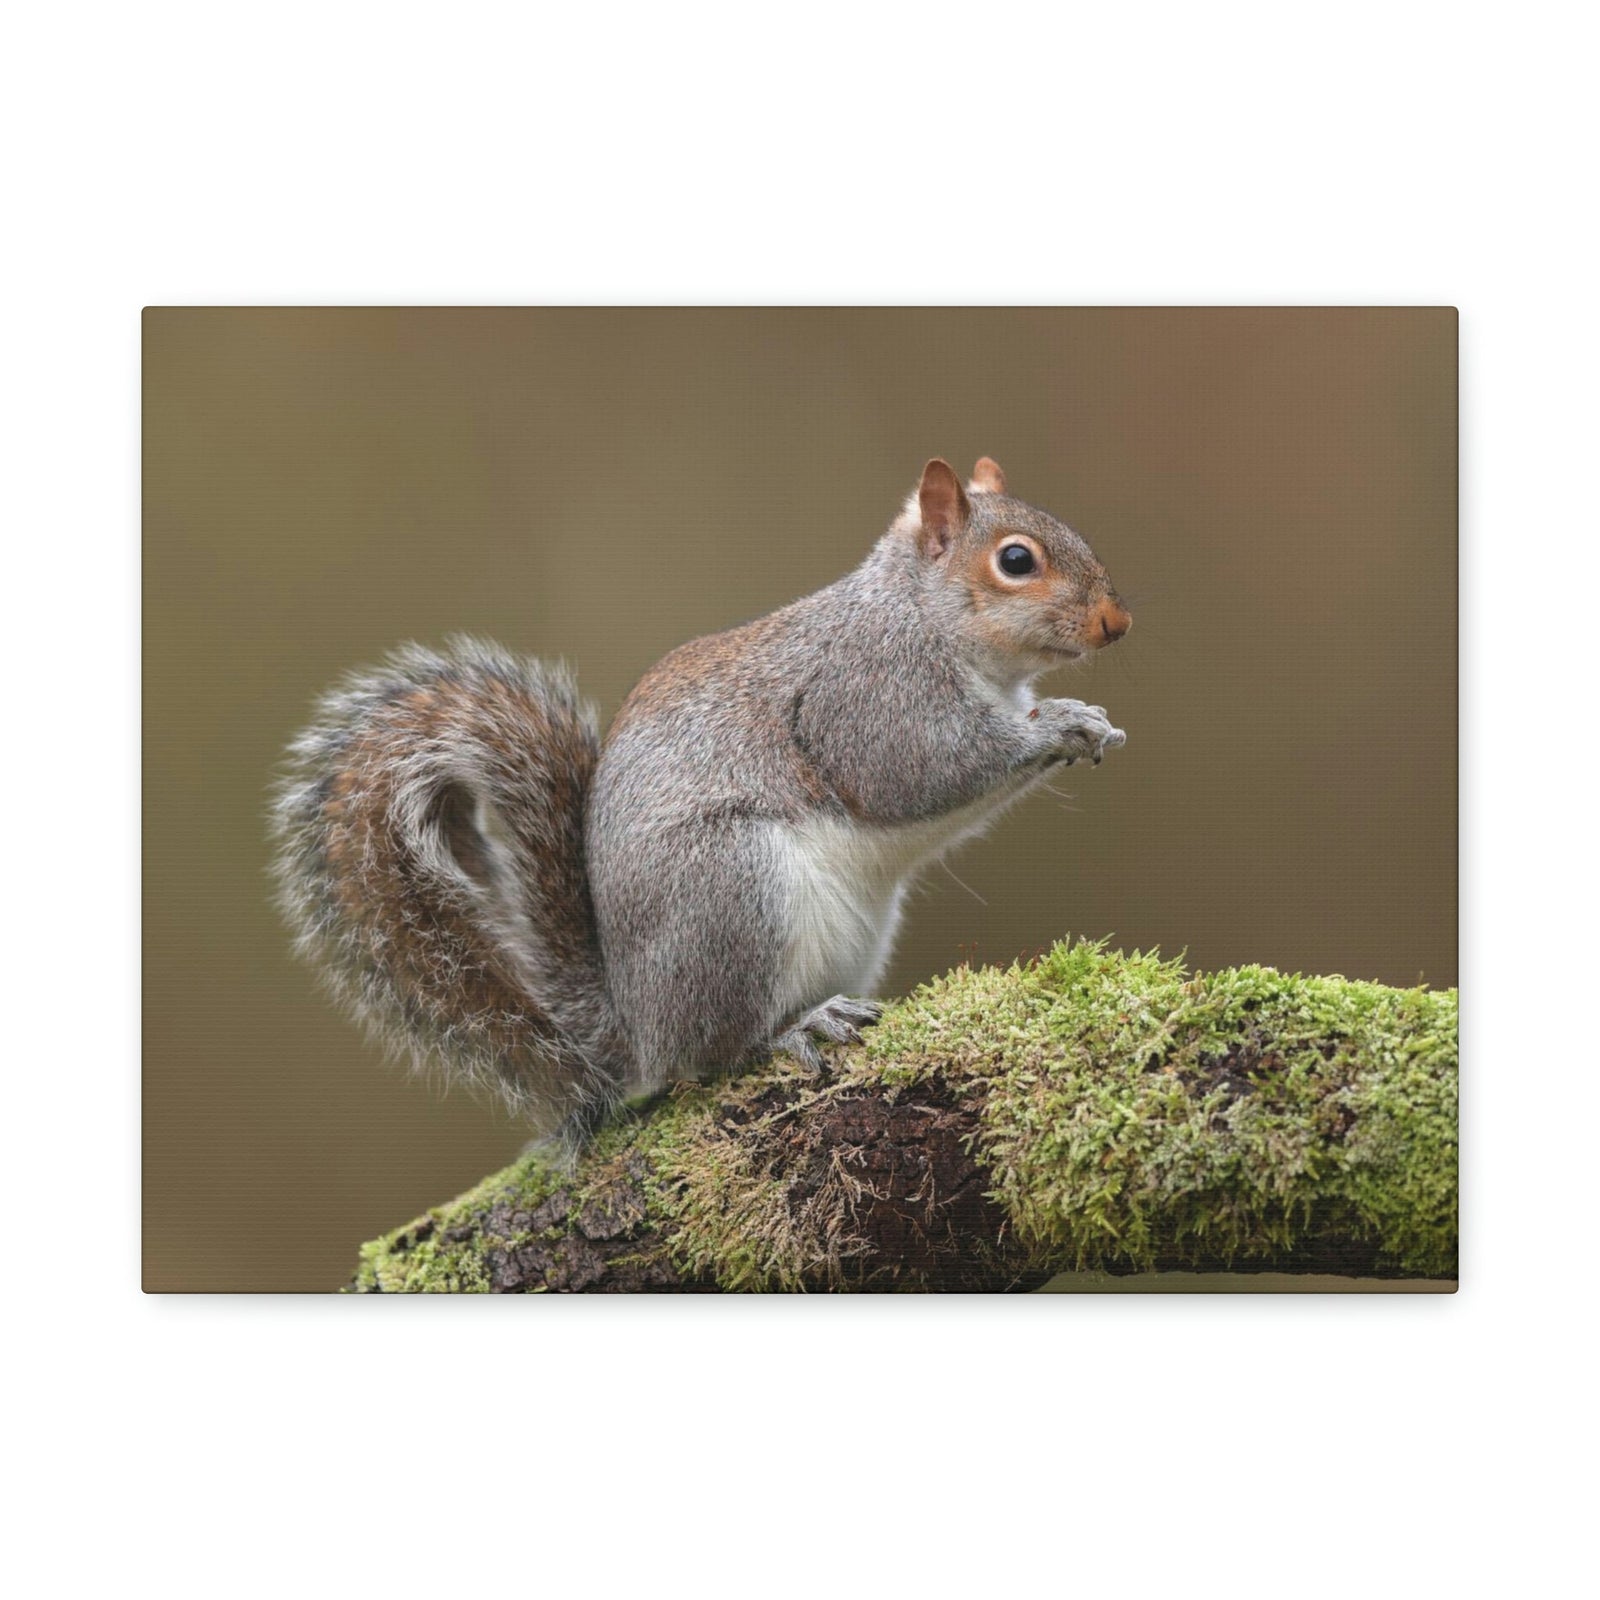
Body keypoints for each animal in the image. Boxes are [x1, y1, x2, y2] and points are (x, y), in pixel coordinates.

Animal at [271, 457, 1131, 1146]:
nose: (1116, 623)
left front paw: (1086, 721)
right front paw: (1057, 723)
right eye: (1015, 560)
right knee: (713, 1054)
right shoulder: (865, 695)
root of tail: (635, 1024)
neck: (920, 614)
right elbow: (916, 772)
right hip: (732, 893)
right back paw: (794, 1028)